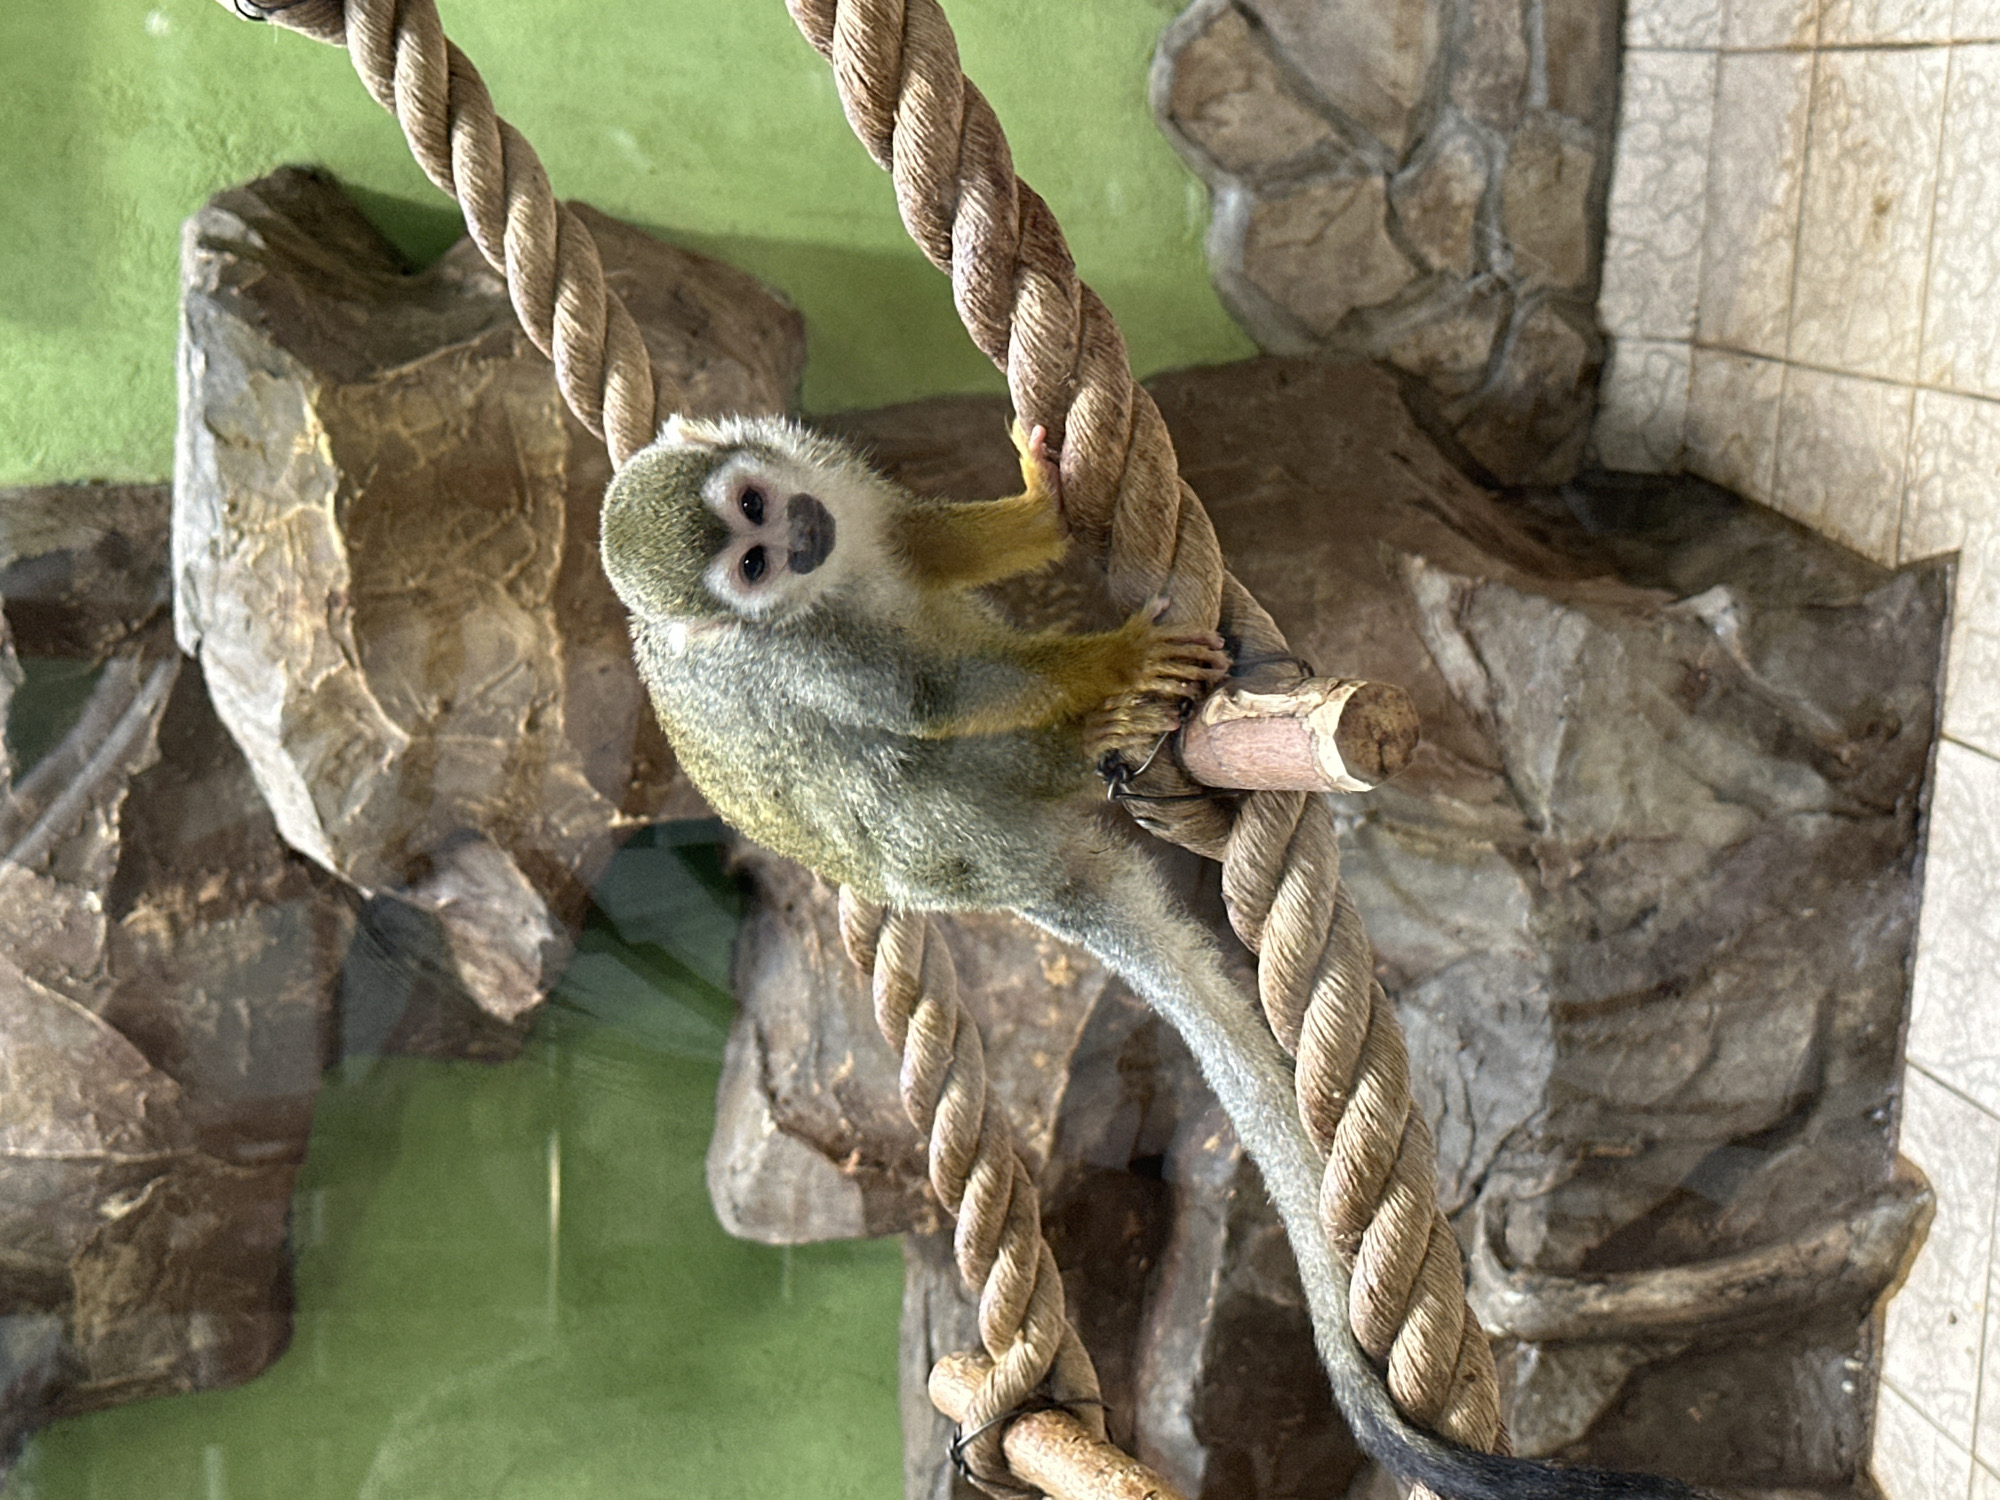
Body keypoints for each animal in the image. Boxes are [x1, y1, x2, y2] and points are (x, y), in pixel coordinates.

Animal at [599, 412, 1710, 1500]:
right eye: (749, 566)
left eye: (755, 504)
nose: (794, 538)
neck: (816, 589)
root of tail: (1011, 880)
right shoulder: (809, 650)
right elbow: (922, 695)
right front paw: (1117, 665)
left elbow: (916, 545)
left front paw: (1032, 502)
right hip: (948, 836)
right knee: (894, 769)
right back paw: (1089, 740)